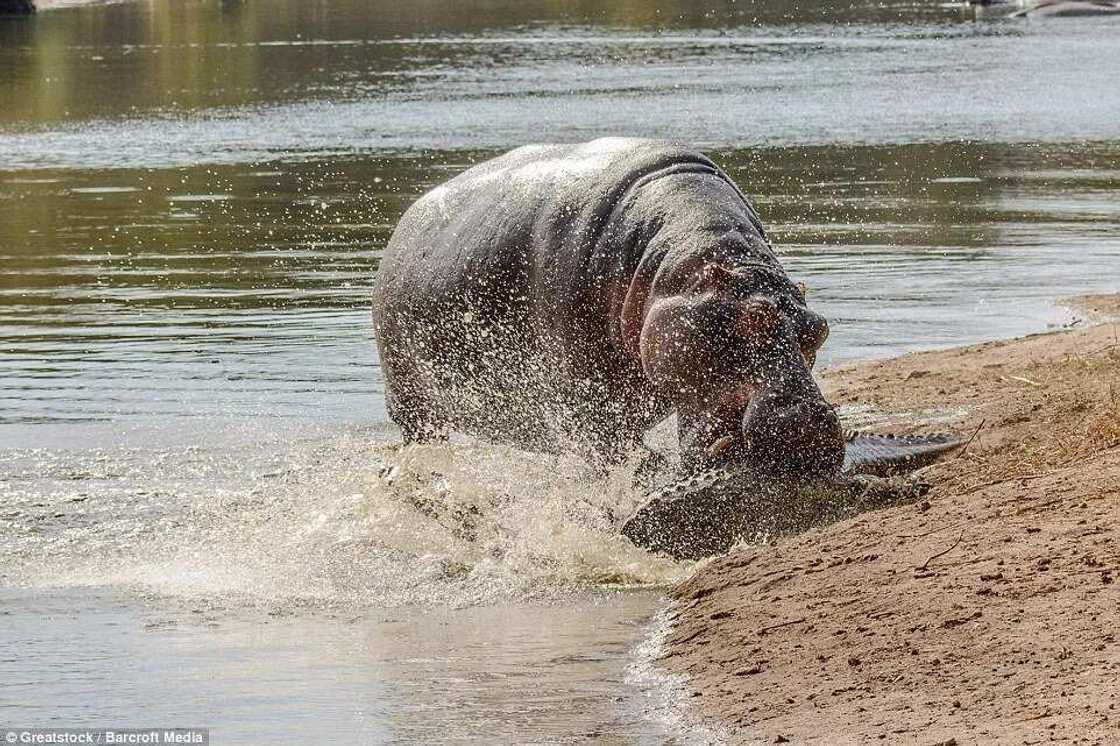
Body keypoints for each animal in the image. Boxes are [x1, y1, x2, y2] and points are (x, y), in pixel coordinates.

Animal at [373, 138, 844, 476]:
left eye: (818, 329)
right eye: (754, 317)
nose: (812, 424)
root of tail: (406, 221)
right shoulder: (585, 406)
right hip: (411, 405)